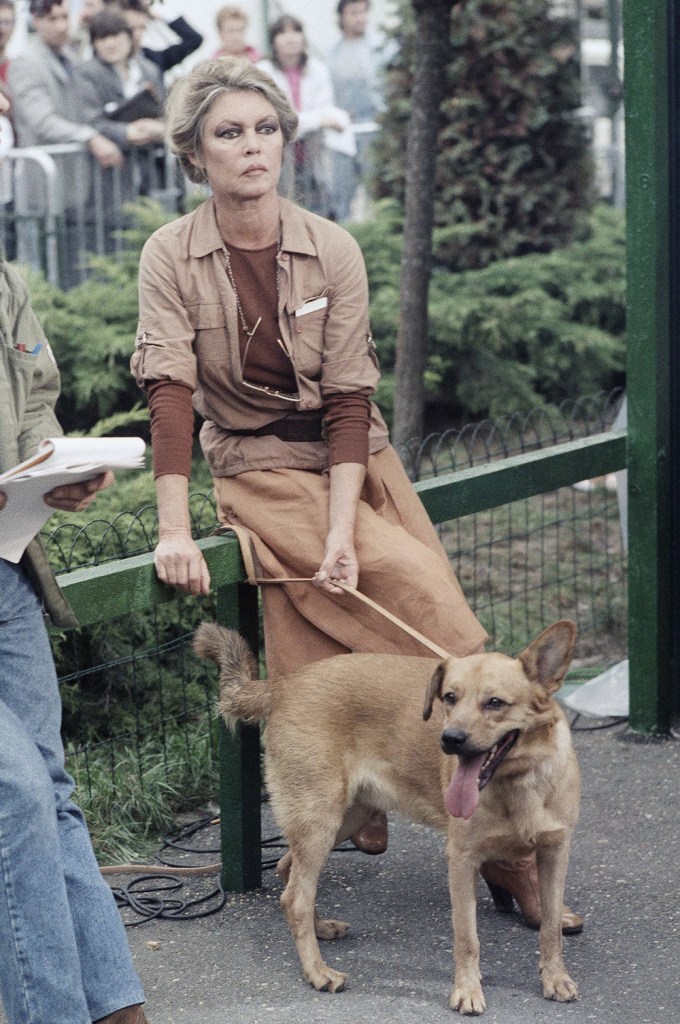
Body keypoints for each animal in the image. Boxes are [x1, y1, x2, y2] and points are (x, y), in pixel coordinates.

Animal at [193, 618, 581, 1011]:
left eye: (495, 703)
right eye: (449, 698)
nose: (450, 739)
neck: (519, 785)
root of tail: (283, 684)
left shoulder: (555, 853)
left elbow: (550, 927)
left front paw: (555, 978)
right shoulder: (460, 859)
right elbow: (467, 937)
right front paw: (468, 991)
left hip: (344, 819)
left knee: (289, 873)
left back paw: (320, 929)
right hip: (321, 821)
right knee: (295, 898)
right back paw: (318, 972)